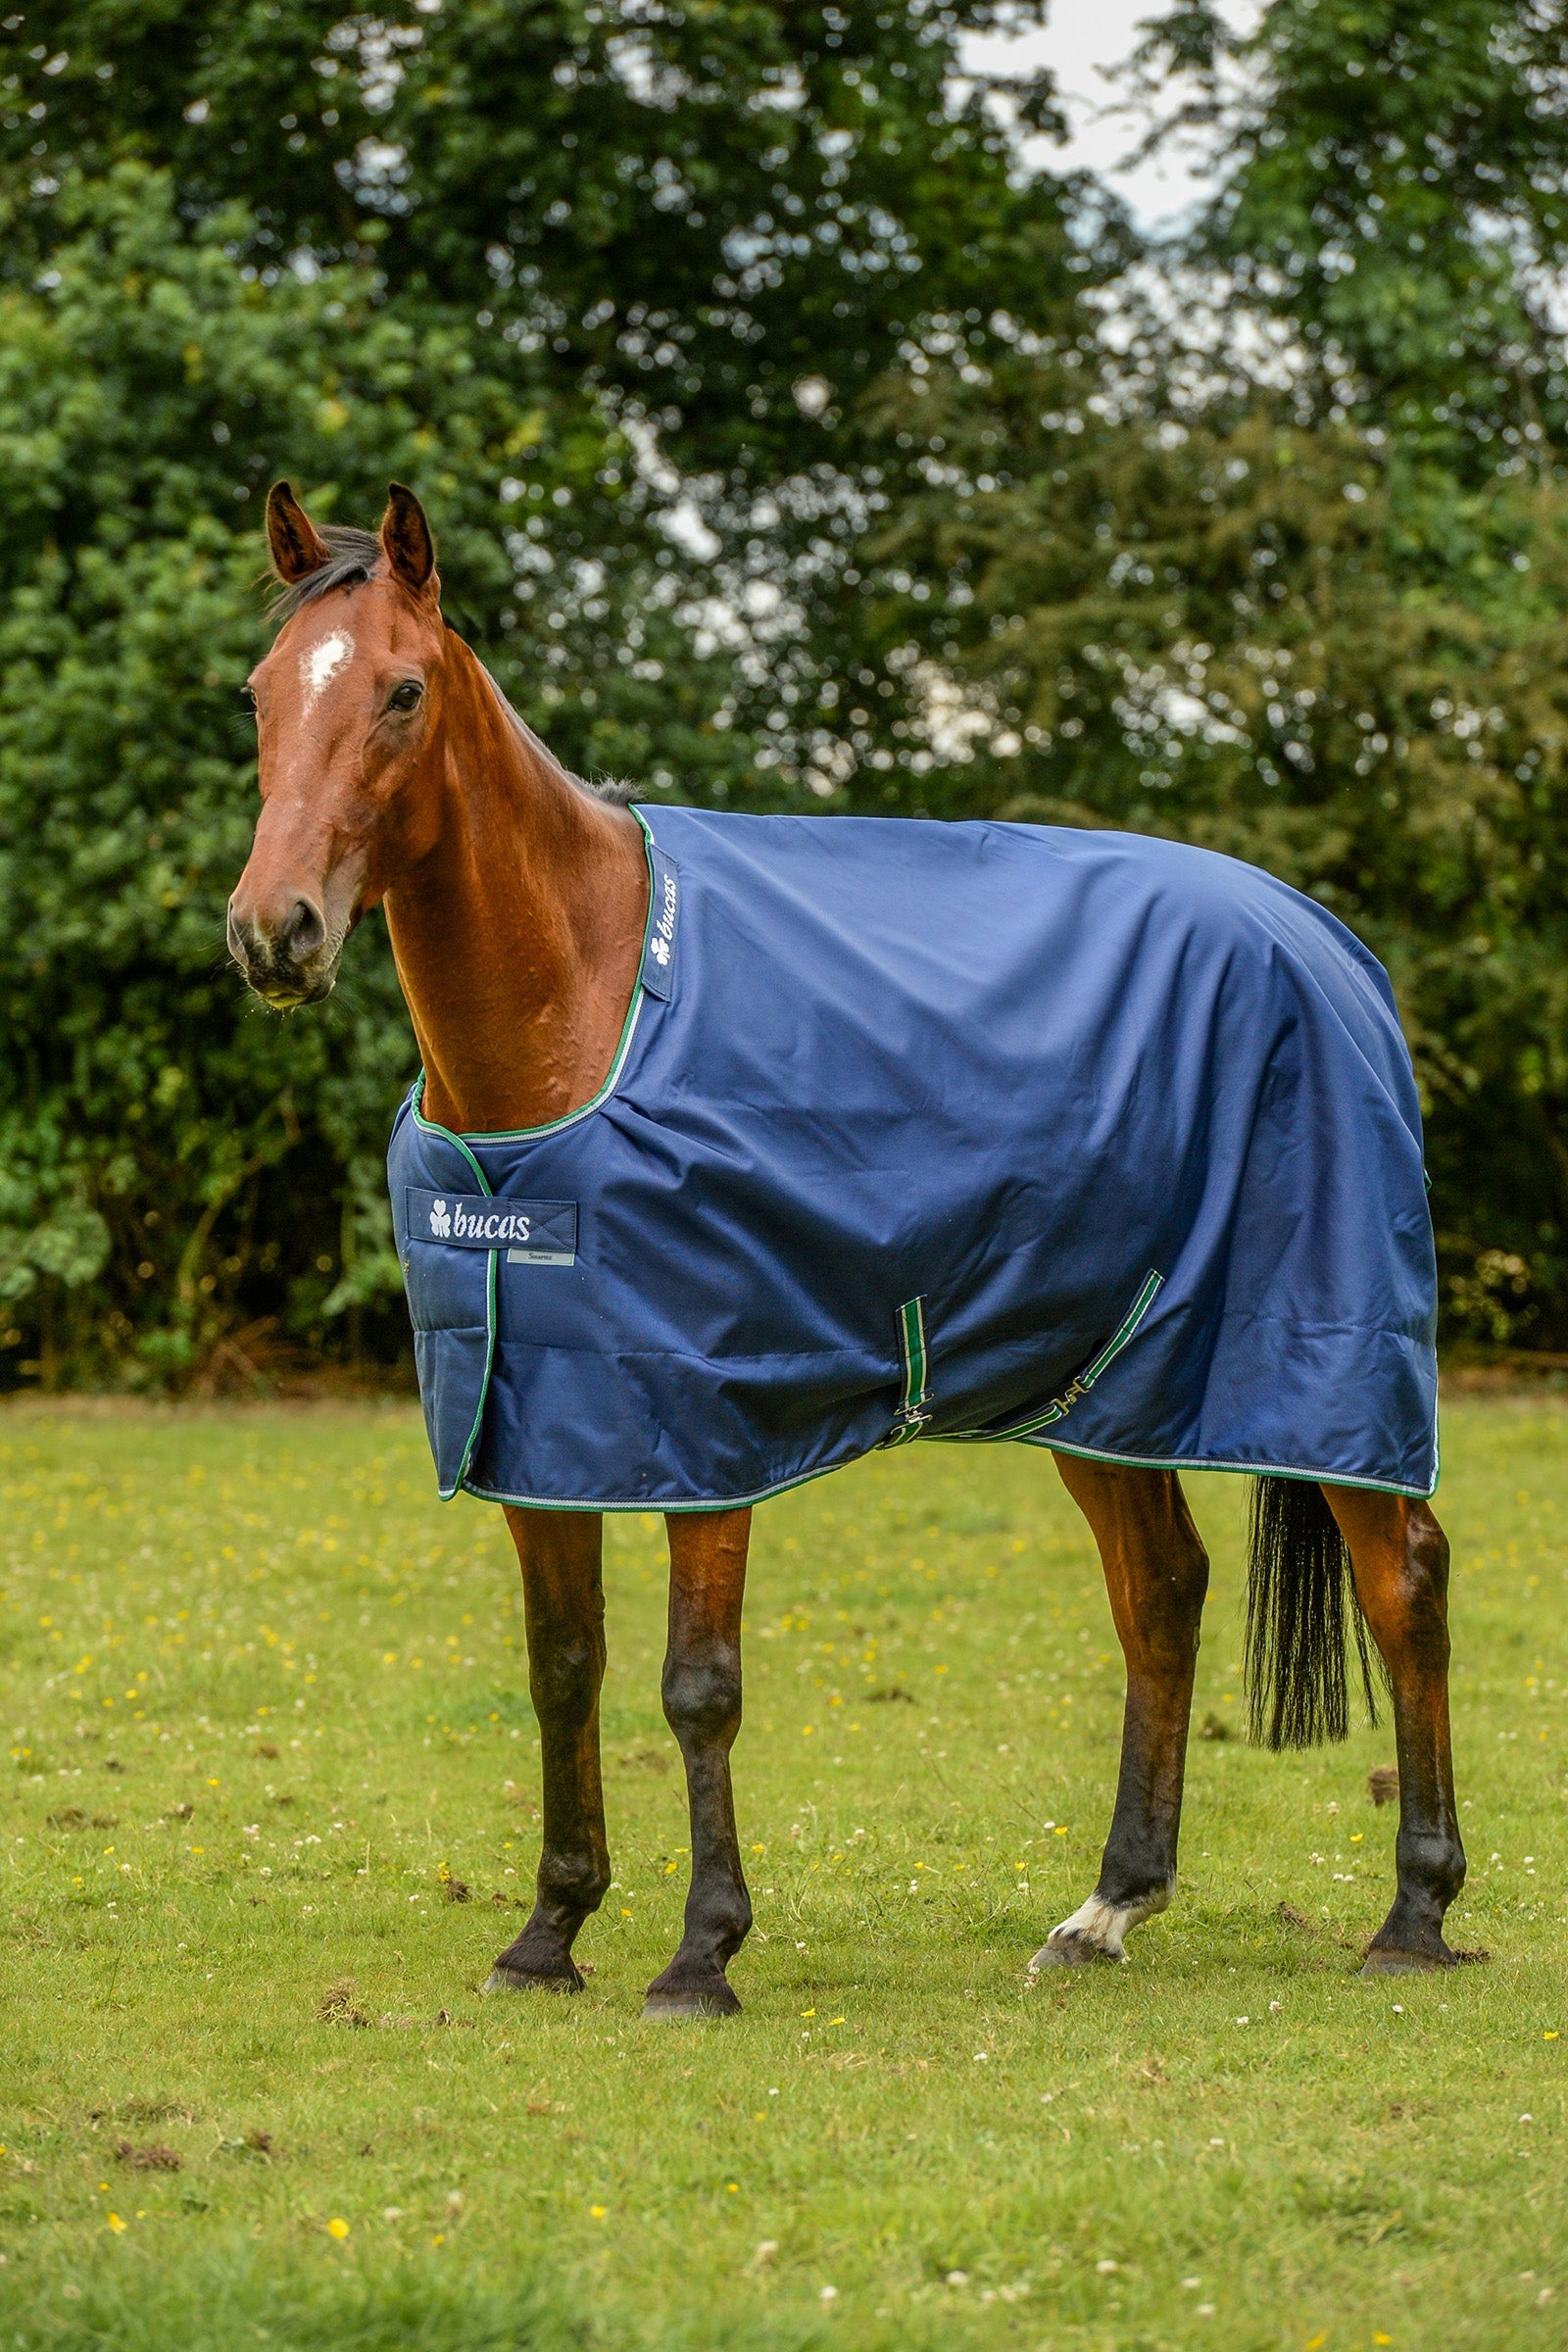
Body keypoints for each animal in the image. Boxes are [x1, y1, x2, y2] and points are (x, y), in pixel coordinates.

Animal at [227, 480, 1465, 2016]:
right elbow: (562, 1666)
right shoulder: (537, 1415)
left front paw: (701, 1954)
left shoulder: (701, 1423)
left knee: (1403, 1579)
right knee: (1162, 1594)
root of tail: (1331, 947)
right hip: (1103, 1379)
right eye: (261, 693)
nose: (273, 932)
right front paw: (549, 1932)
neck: (587, 1005)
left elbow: (697, 1684)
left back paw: (1414, 1912)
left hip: (1324, 1366)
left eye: (401, 691)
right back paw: (1108, 1907)